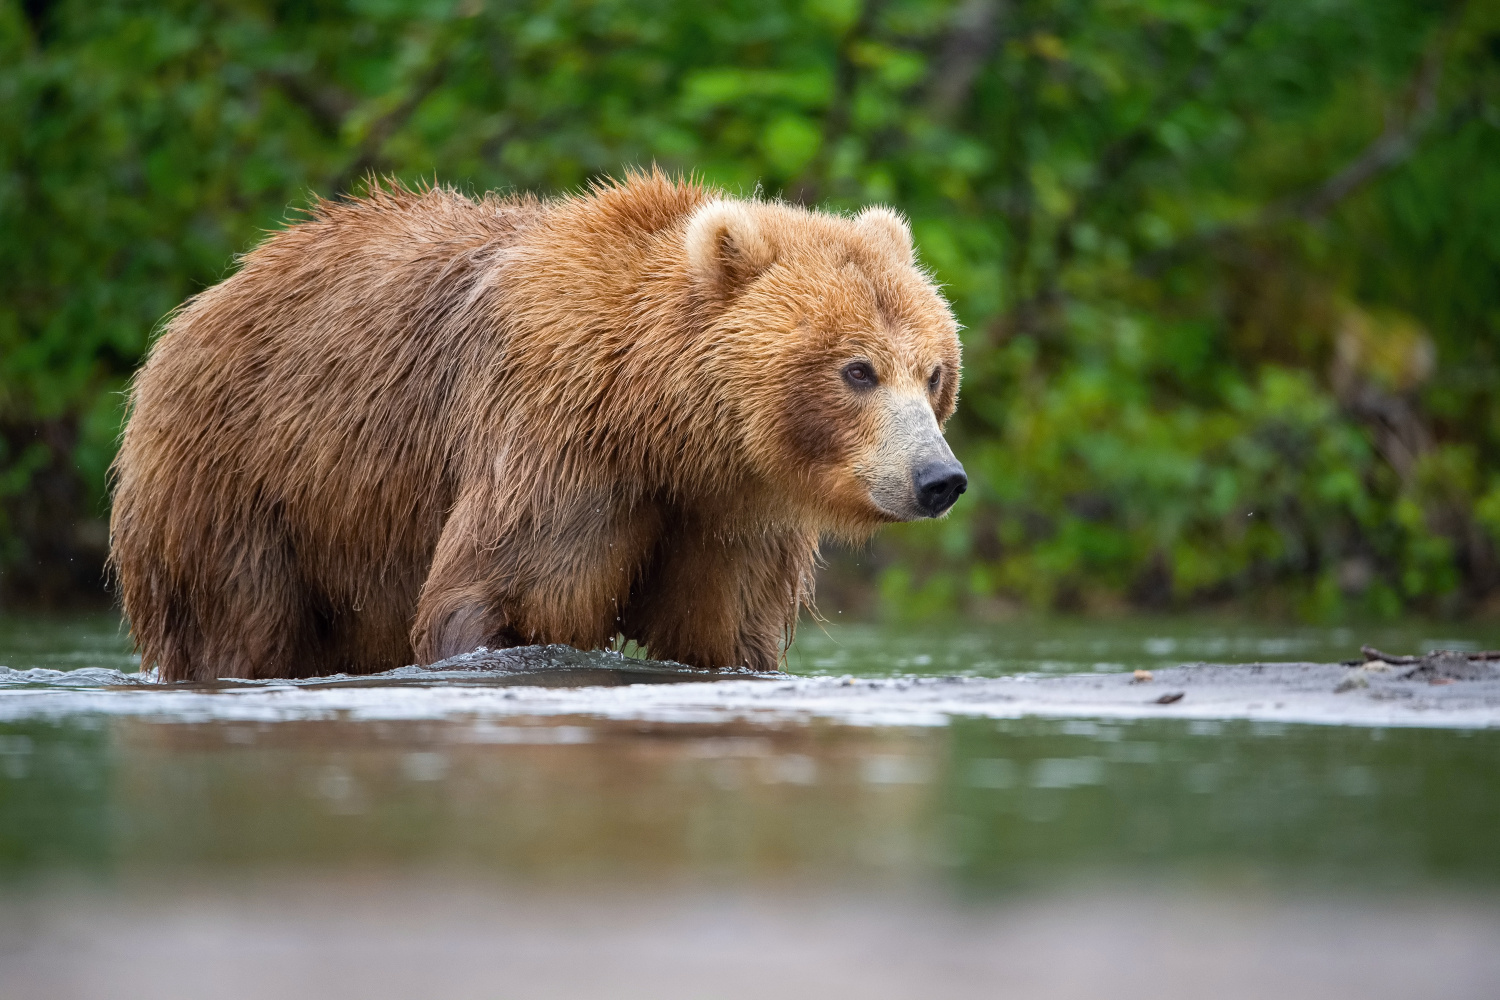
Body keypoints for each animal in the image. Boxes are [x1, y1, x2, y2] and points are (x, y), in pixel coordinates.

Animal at [111, 176, 966, 683]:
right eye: (858, 369)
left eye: (933, 373)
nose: (939, 478)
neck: (660, 420)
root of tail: (207, 298)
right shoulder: (555, 433)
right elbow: (506, 595)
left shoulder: (729, 512)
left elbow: (726, 633)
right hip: (243, 480)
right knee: (238, 620)